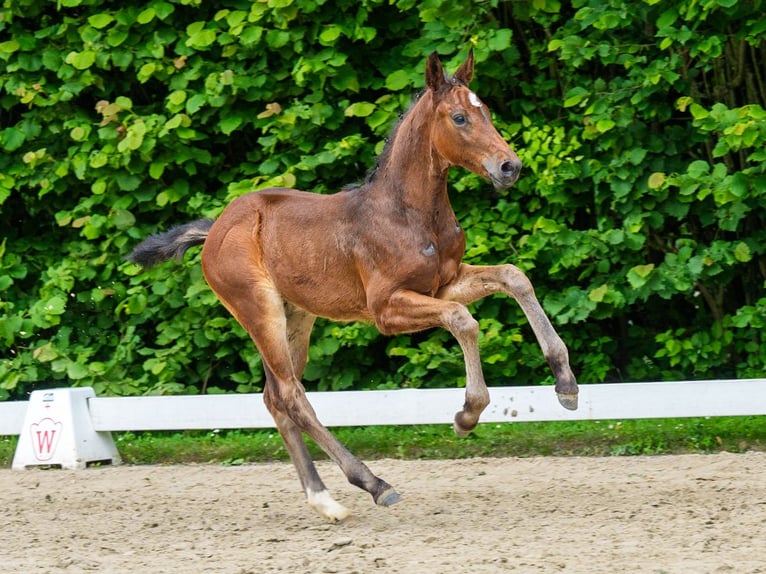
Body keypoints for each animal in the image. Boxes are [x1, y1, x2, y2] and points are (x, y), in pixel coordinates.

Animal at [128, 50, 579, 522]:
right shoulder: (387, 309)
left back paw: (324, 499)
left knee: (274, 397)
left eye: (486, 111)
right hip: (259, 311)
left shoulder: (443, 284)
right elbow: (464, 321)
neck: (408, 213)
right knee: (291, 395)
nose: (510, 167)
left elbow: (514, 276)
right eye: (459, 117)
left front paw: (566, 385)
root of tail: (216, 228)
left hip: (297, 317)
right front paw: (467, 414)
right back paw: (375, 484)